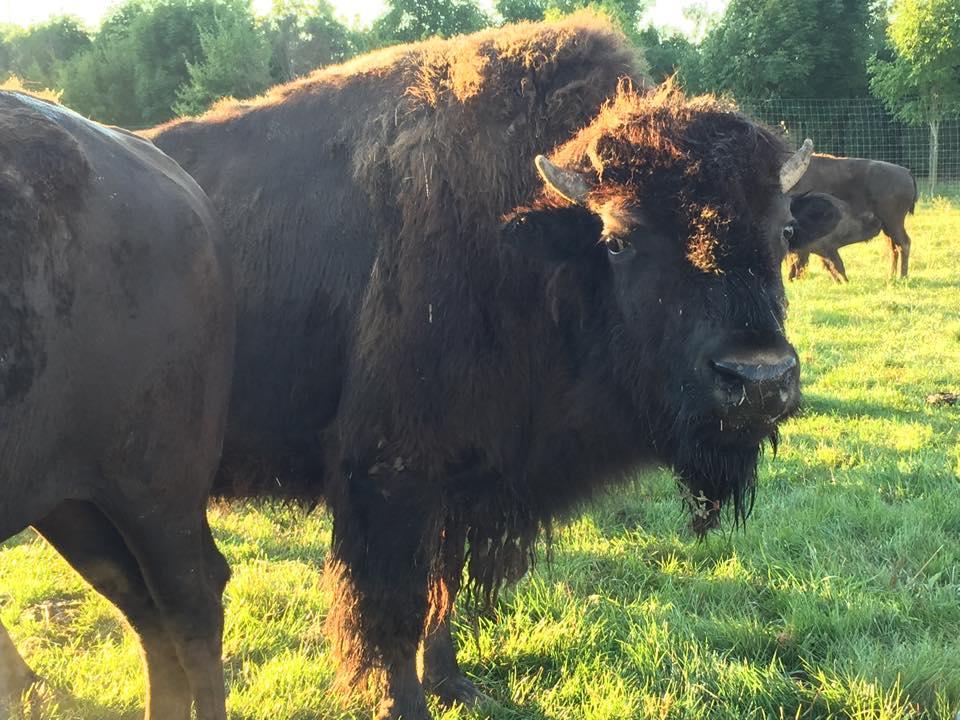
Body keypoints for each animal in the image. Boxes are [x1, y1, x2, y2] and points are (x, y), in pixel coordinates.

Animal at [146, 15, 812, 720]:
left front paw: (455, 684)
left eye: (784, 231)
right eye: (619, 240)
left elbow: (441, 595)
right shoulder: (391, 479)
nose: (759, 382)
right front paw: (403, 703)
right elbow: (395, 610)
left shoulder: (458, 481)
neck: (526, 244)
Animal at [788, 155, 924, 278]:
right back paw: (891, 276)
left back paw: (902, 277)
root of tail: (906, 172)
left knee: (904, 244)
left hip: (894, 224)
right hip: (887, 227)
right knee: (893, 247)